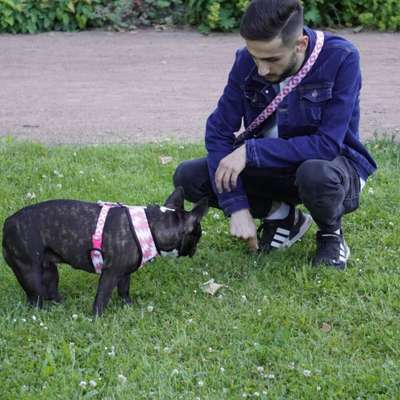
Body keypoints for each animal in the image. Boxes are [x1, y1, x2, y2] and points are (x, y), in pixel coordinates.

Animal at [0, 188, 206, 316]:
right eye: (197, 236)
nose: (196, 248)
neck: (150, 225)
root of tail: (8, 222)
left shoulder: (124, 273)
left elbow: (124, 290)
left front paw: (128, 306)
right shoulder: (111, 273)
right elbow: (102, 297)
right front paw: (96, 319)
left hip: (49, 270)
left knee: (51, 290)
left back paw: (61, 306)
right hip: (29, 271)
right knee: (35, 298)